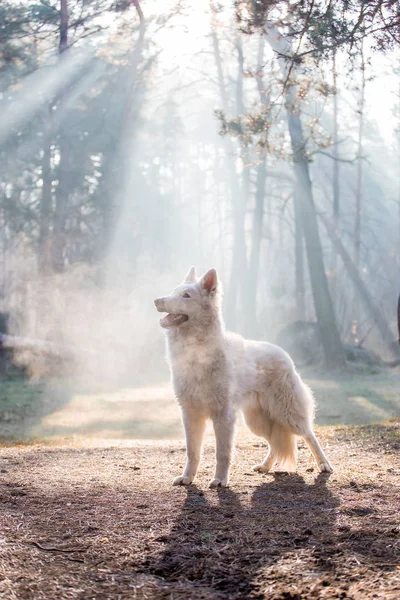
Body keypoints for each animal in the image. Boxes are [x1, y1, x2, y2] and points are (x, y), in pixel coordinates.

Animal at [155, 268, 332, 488]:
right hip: (257, 421)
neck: (196, 352)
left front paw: (220, 480)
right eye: (174, 292)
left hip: (287, 415)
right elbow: (192, 452)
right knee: (274, 444)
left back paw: (324, 465)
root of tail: (284, 354)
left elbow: (222, 452)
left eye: (186, 296)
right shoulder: (190, 414)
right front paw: (187, 478)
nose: (157, 301)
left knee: (309, 435)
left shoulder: (223, 416)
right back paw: (265, 466)